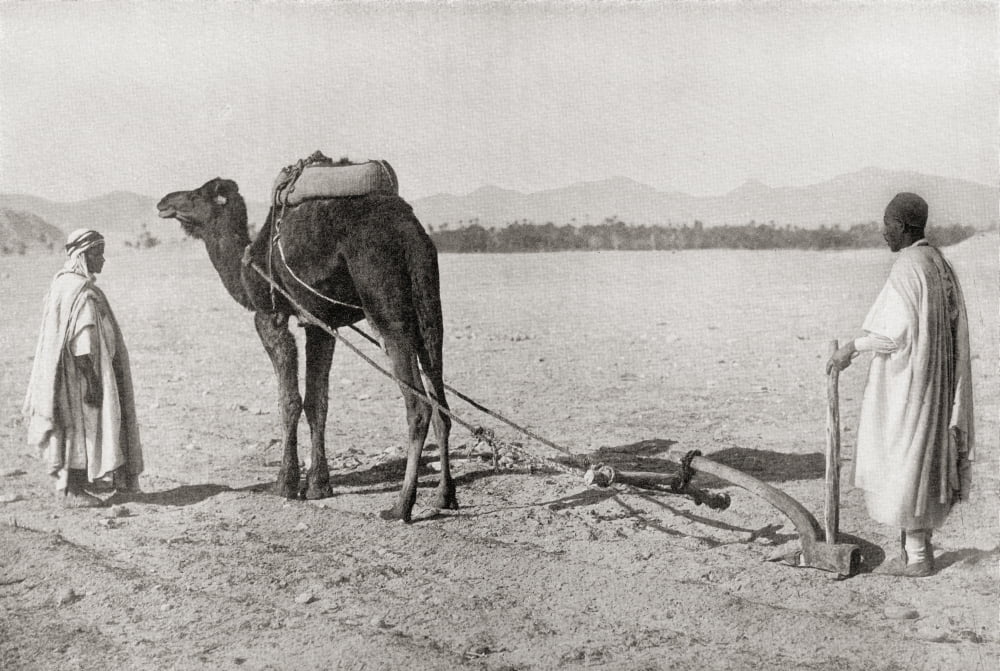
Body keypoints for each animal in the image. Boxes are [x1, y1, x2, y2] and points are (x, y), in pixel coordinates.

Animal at [156, 174, 455, 522]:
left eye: (195, 195)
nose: (164, 202)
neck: (247, 266)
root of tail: (409, 232)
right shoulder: (318, 324)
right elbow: (317, 401)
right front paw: (318, 485)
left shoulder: (269, 317)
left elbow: (289, 400)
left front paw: (285, 484)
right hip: (428, 302)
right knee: (440, 400)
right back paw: (444, 496)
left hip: (385, 303)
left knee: (418, 406)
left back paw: (401, 505)